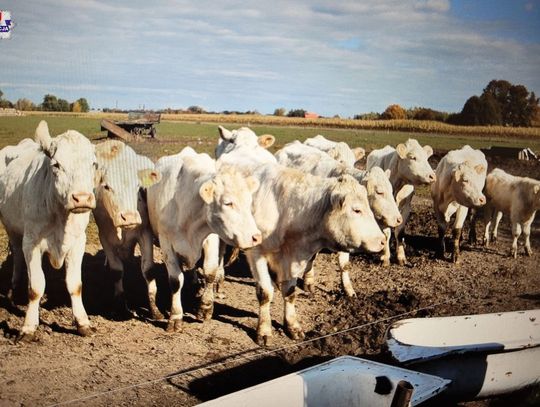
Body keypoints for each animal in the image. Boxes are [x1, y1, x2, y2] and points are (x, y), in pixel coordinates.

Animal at [0, 121, 98, 342]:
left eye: (94, 165)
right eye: (56, 165)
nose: (82, 198)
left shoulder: (78, 242)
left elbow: (75, 285)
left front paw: (83, 323)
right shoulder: (31, 242)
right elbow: (35, 287)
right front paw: (28, 327)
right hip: (12, 228)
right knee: (17, 254)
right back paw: (15, 285)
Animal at [93, 142, 162, 320]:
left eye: (138, 186)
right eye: (107, 186)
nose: (129, 217)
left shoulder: (145, 234)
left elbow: (148, 270)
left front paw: (155, 310)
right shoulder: (104, 237)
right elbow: (116, 271)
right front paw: (119, 306)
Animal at [144, 148, 260, 334]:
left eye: (249, 201)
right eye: (228, 203)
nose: (256, 237)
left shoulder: (210, 237)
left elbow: (210, 272)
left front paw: (205, 307)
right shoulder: (166, 241)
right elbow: (175, 280)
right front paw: (175, 317)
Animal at [364, 140, 436, 268]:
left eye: (427, 158)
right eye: (413, 157)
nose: (432, 176)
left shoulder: (406, 207)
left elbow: (400, 232)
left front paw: (401, 257)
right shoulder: (383, 212)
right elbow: (386, 233)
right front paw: (385, 257)